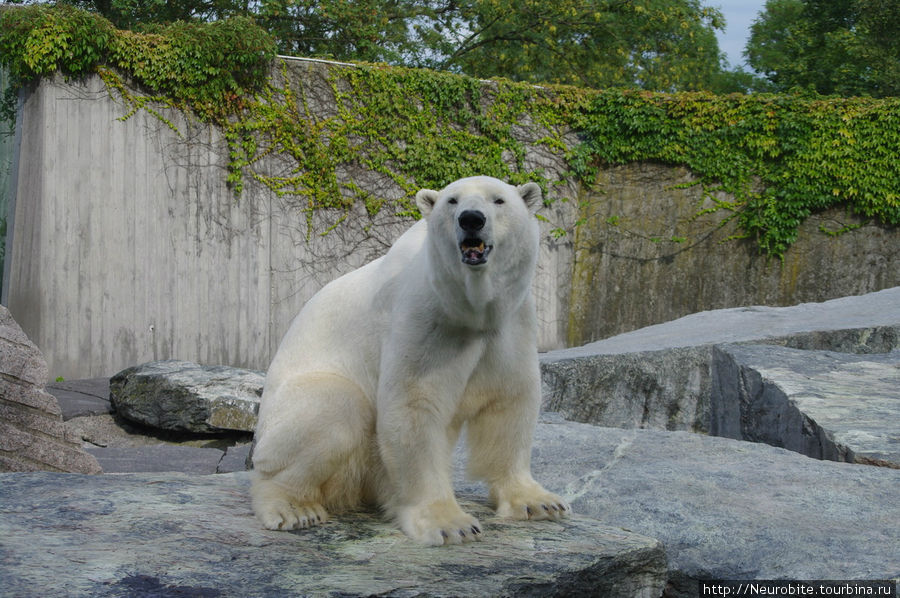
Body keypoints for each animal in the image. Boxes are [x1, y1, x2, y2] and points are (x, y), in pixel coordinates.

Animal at [250, 176, 568, 548]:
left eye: (498, 200)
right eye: (452, 201)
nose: (471, 219)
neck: (470, 309)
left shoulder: (511, 324)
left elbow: (510, 400)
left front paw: (539, 502)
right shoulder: (424, 319)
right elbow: (415, 406)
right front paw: (451, 524)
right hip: (286, 415)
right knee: (335, 407)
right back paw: (293, 508)